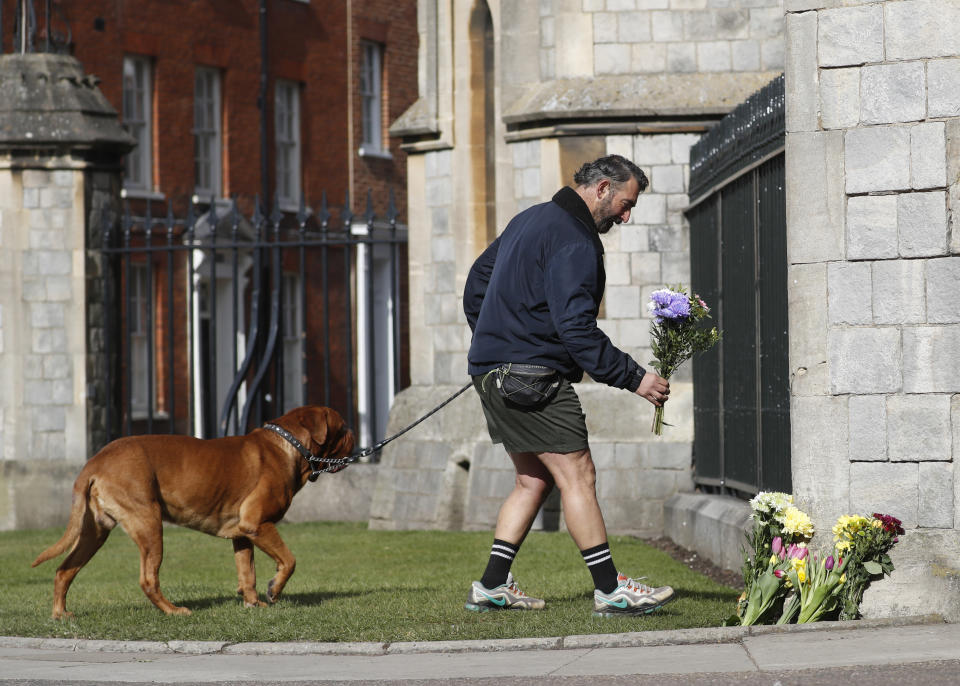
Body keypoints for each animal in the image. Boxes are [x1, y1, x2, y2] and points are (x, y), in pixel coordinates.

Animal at [33, 406, 358, 620]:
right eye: (343, 428)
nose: (355, 435)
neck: (290, 446)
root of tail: (95, 461)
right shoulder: (258, 524)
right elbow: (289, 561)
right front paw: (274, 591)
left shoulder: (243, 534)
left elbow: (247, 573)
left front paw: (252, 603)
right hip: (148, 523)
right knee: (148, 579)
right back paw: (173, 611)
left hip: (94, 532)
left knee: (64, 570)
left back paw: (60, 614)